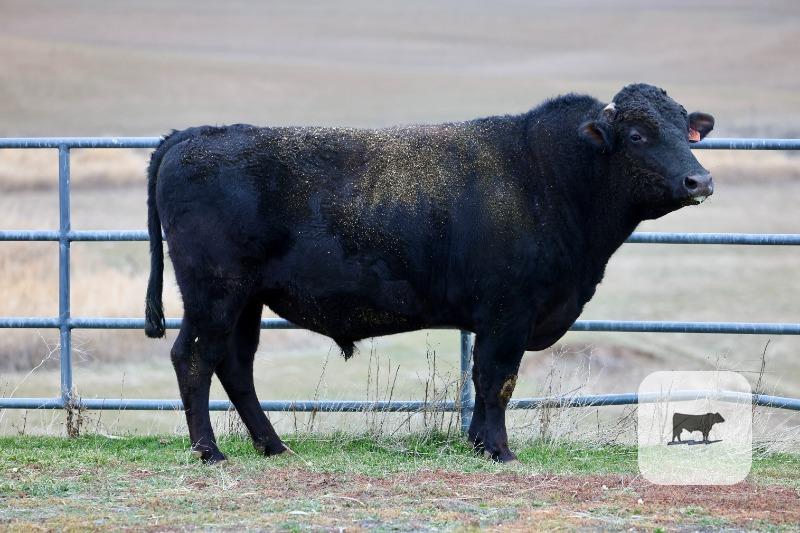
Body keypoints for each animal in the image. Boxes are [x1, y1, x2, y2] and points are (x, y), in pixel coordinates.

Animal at [144, 83, 715, 463]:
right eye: (638, 135)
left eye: (686, 132)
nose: (700, 180)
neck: (547, 174)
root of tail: (193, 136)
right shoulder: (509, 314)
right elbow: (496, 379)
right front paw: (498, 450)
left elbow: (486, 380)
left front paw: (480, 442)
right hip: (215, 294)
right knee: (192, 358)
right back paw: (209, 451)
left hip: (246, 302)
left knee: (235, 366)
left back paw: (273, 444)